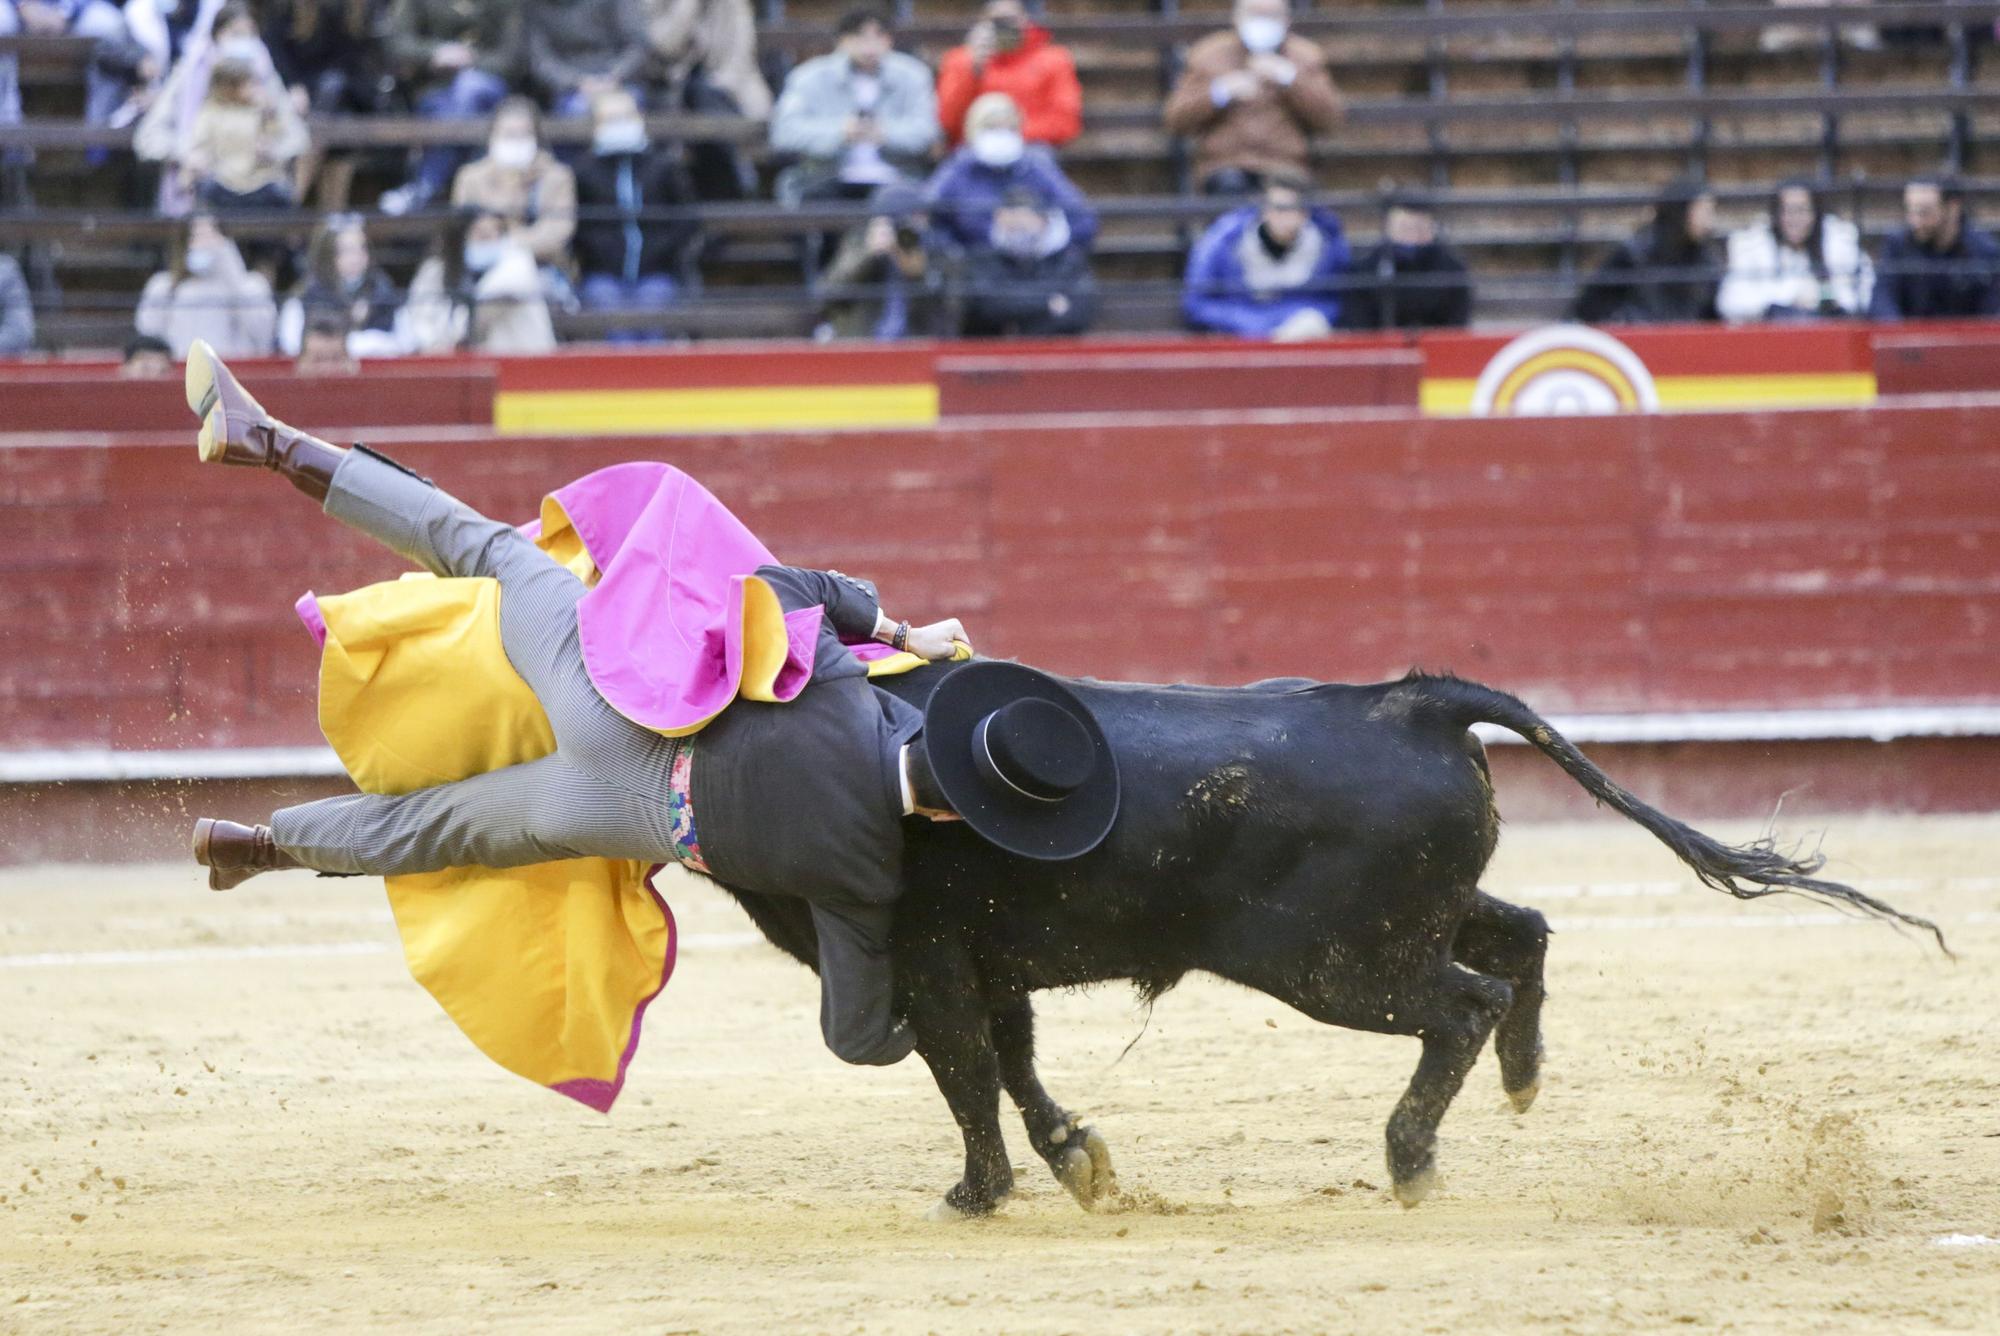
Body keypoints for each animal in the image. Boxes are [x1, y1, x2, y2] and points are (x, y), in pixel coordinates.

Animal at [716, 664, 1936, 1216]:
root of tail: (1415, 700)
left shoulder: (928, 958)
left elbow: (967, 1072)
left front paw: (978, 1195)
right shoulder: (985, 961)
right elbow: (1009, 1064)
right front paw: (1075, 1164)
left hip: (1334, 963)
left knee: (1464, 1002)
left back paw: (1411, 1159)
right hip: (1405, 918)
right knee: (1522, 935)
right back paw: (1523, 1079)